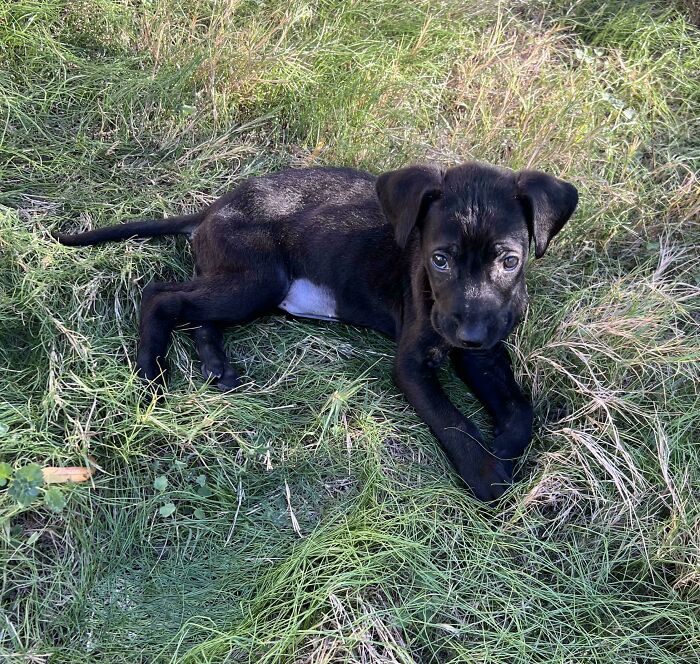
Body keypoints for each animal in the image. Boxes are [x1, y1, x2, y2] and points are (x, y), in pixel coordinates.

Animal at [57, 163, 576, 500]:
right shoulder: (413, 362)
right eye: (439, 260)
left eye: (510, 261)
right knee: (161, 297)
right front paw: (487, 473)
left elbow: (519, 406)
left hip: (244, 284)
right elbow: (452, 421)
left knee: (197, 312)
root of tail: (211, 211)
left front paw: (505, 444)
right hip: (259, 279)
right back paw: (149, 376)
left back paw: (216, 366)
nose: (466, 332)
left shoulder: (484, 351)